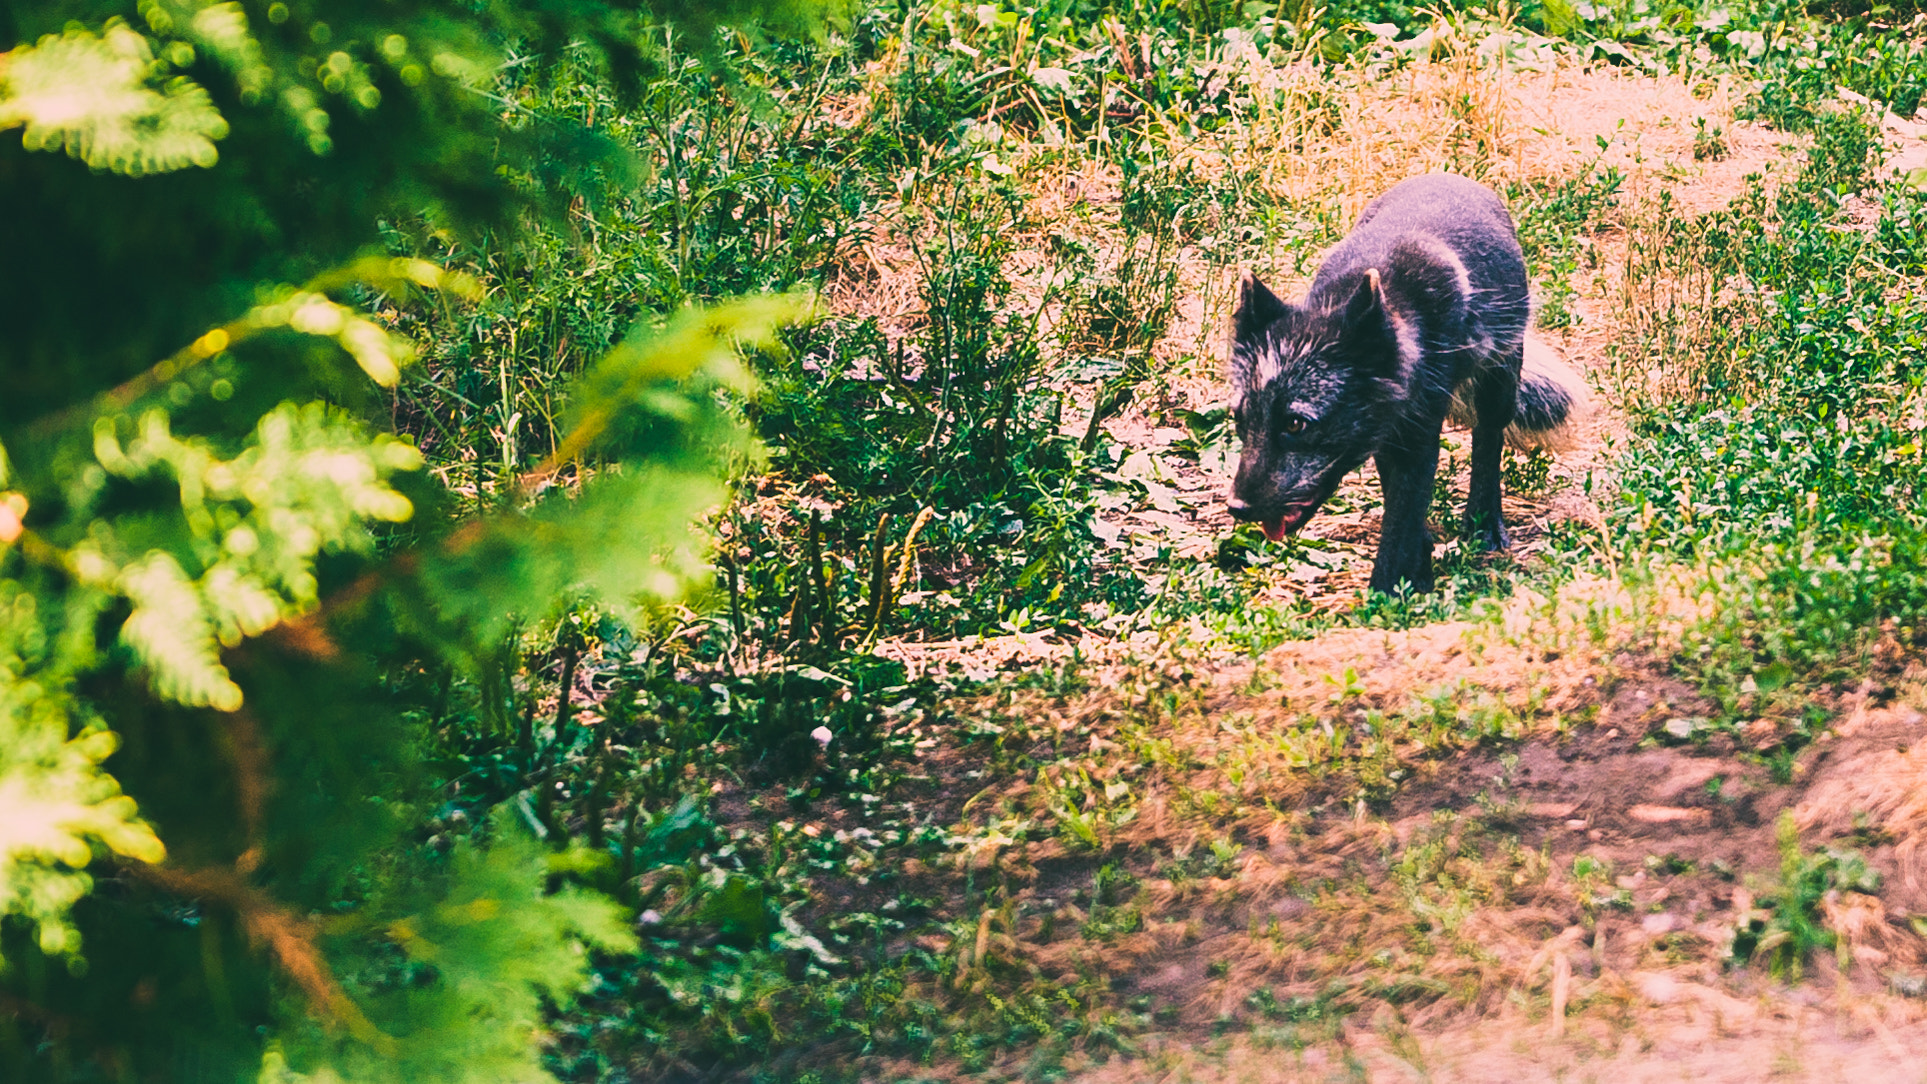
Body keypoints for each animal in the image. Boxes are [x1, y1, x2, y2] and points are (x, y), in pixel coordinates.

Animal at [1225, 172, 1590, 594]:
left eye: (1296, 424)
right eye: (1240, 419)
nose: (1236, 508)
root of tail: (1451, 176)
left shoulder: (1418, 436)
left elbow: (1400, 524)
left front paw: (1388, 595)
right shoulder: (1390, 436)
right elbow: (1404, 511)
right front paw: (1419, 567)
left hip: (1501, 382)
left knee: (1487, 441)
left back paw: (1484, 523)